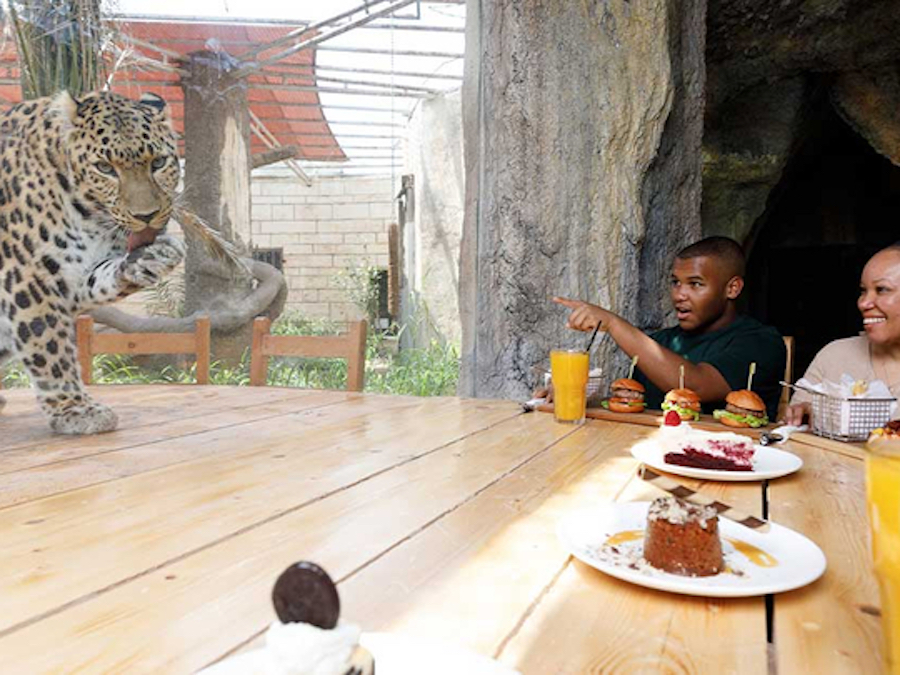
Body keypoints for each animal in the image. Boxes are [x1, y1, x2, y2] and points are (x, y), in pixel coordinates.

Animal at [0, 90, 184, 434]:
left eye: (159, 162)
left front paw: (151, 258)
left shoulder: (70, 279)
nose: (146, 216)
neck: (87, 215)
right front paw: (75, 409)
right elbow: (49, 346)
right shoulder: (28, 276)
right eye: (104, 168)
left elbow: (103, 277)